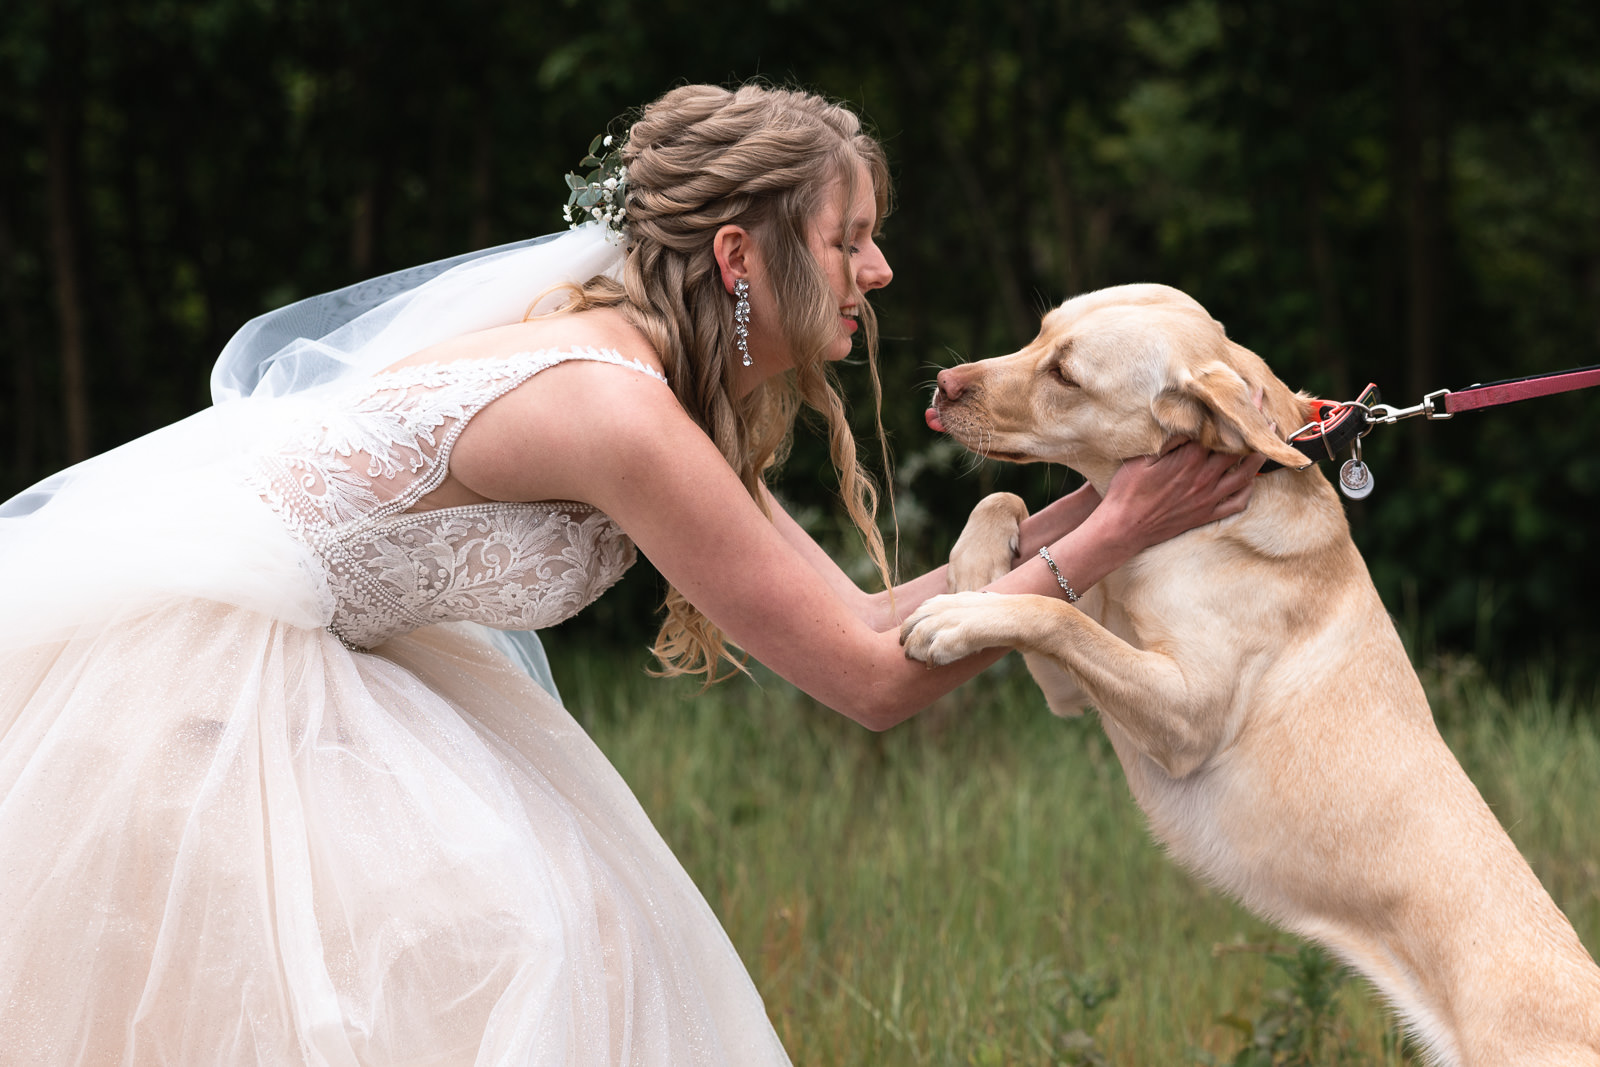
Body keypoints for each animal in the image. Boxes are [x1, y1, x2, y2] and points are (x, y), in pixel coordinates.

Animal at [902, 279, 1600, 1062]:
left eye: (1067, 376)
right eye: (1038, 336)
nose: (943, 383)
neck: (1189, 533)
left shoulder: (1184, 716)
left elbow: (1055, 613)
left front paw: (956, 616)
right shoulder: (1072, 687)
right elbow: (1008, 509)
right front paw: (972, 569)